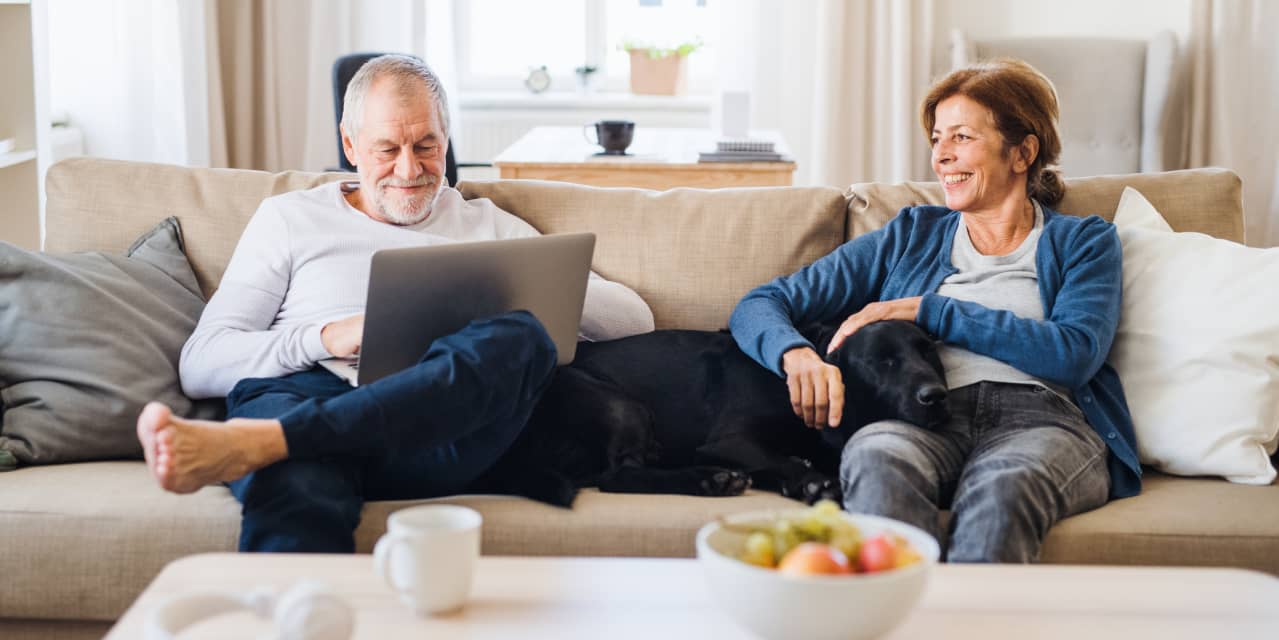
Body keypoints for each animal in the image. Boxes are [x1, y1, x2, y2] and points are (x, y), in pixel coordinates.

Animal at [475, 322, 946, 506]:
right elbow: (783, 459)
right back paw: (709, 479)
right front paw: (813, 482)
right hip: (618, 404)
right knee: (617, 476)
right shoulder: (730, 439)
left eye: (929, 353)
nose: (936, 396)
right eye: (881, 361)